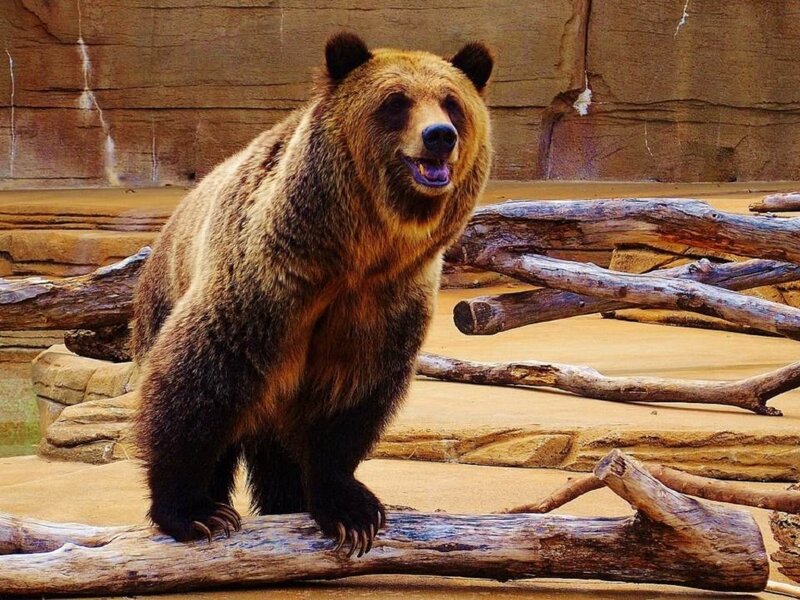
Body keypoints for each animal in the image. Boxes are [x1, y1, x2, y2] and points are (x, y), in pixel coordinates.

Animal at [131, 32, 493, 557]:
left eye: (451, 102)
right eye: (396, 102)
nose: (440, 136)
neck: (354, 252)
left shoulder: (383, 302)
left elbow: (351, 402)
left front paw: (349, 510)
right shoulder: (268, 282)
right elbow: (198, 378)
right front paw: (194, 511)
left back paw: (287, 503)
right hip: (164, 297)